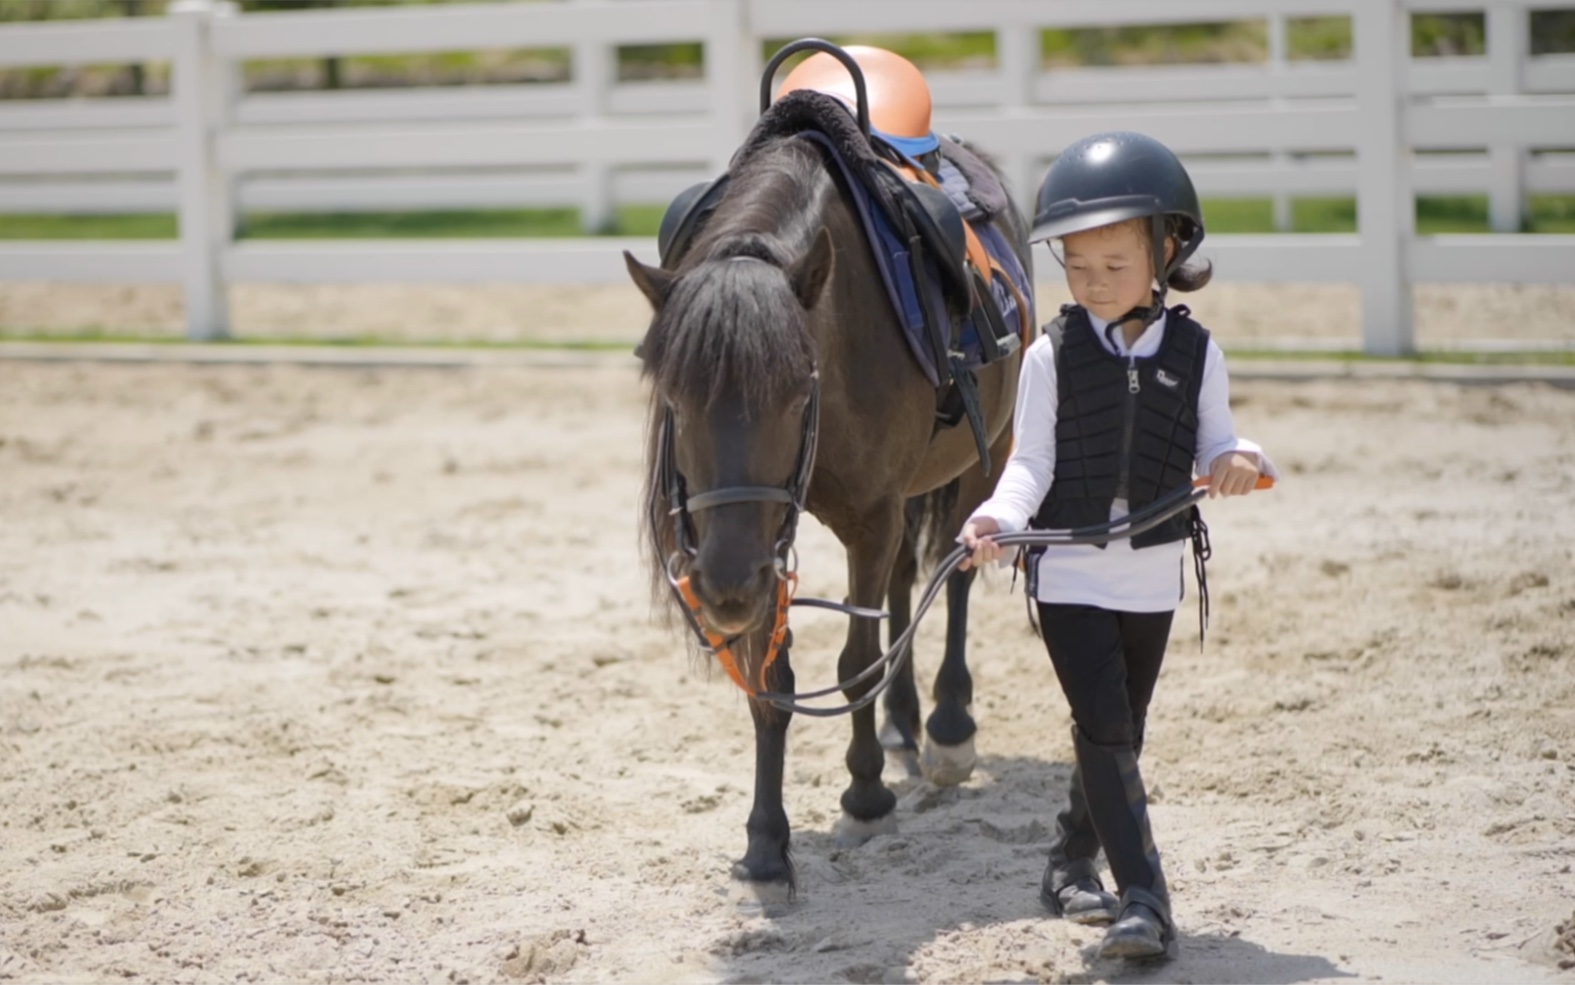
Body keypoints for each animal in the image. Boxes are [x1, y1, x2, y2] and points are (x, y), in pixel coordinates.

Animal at [626, 134, 1033, 895]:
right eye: (676, 397)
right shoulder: (759, 544)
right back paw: (903, 723)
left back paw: (948, 726)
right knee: (905, 581)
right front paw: (765, 845)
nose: (723, 585)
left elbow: (856, 664)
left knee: (956, 575)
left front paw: (865, 798)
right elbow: (771, 683)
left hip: (985, 457)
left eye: (794, 393)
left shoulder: (866, 520)